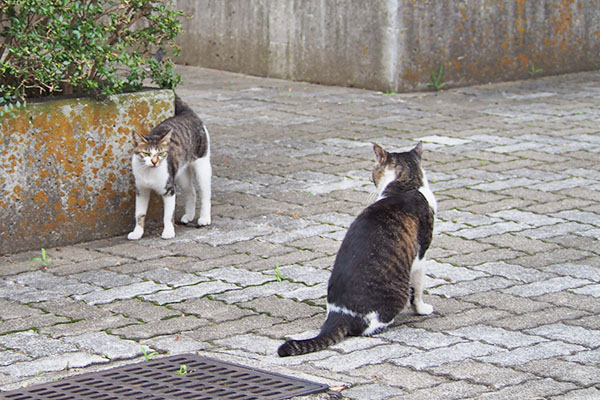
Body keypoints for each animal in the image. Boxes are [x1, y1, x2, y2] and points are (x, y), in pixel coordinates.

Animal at [127, 94, 211, 241]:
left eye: (161, 153)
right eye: (146, 154)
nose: (154, 162)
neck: (149, 172)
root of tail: (187, 113)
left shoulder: (169, 190)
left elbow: (167, 215)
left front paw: (168, 232)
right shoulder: (141, 190)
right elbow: (139, 214)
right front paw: (137, 232)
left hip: (202, 166)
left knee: (205, 193)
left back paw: (205, 218)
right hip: (180, 174)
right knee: (191, 192)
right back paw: (189, 215)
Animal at [276, 141, 436, 356]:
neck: (405, 186)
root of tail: (338, 315)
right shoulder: (420, 256)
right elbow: (417, 290)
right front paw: (421, 309)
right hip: (394, 296)